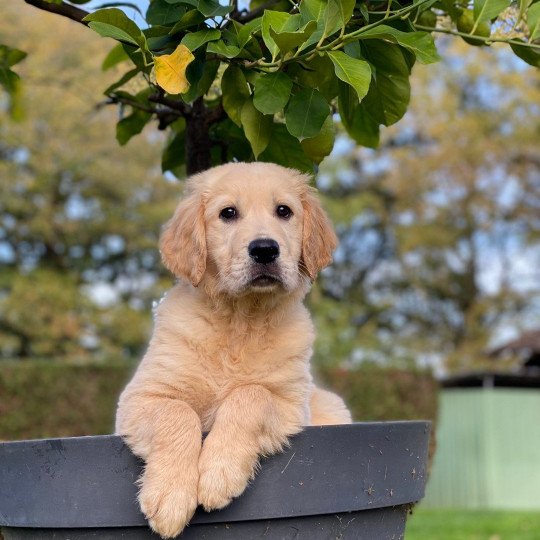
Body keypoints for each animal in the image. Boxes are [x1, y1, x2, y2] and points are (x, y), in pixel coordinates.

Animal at [115, 162, 350, 536]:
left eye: (284, 211)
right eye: (228, 213)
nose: (265, 249)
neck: (241, 322)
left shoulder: (289, 403)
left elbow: (250, 395)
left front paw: (218, 473)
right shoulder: (142, 397)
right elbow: (176, 413)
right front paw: (170, 496)